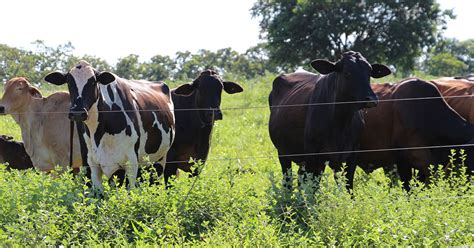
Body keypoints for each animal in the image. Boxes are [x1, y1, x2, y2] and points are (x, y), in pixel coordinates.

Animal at [44, 60, 176, 192]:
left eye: (93, 82)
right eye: (69, 82)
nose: (77, 112)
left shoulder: (131, 163)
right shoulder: (94, 165)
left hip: (160, 159)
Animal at [268, 50, 390, 190]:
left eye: (369, 72)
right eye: (347, 73)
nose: (371, 99)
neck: (341, 122)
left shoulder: (351, 154)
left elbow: (347, 185)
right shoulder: (313, 154)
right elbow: (312, 187)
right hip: (283, 152)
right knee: (288, 179)